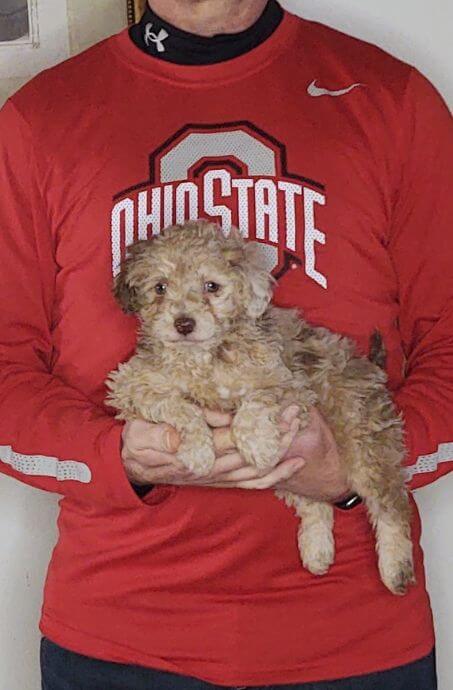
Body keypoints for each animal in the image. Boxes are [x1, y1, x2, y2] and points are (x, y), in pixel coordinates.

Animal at [106, 219, 414, 592]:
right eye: (160, 287)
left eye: (212, 287)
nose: (183, 323)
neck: (202, 357)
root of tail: (371, 369)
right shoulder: (130, 385)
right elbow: (179, 407)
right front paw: (198, 451)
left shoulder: (291, 387)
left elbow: (253, 404)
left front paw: (258, 445)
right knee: (315, 503)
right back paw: (317, 550)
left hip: (363, 442)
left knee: (391, 503)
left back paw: (396, 569)